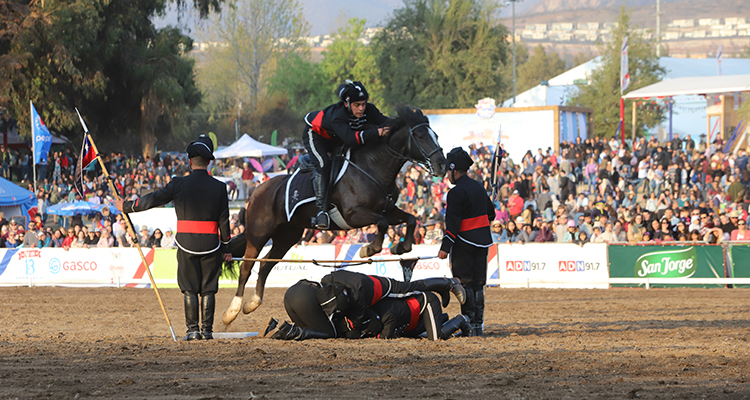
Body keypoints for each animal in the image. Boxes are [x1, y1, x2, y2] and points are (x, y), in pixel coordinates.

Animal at [223, 104, 446, 326]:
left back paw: (253, 303)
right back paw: (232, 311)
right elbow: (382, 223)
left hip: (287, 236)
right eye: (420, 136)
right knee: (246, 267)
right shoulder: (353, 214)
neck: (373, 168)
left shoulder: (389, 210)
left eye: (435, 135)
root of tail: (256, 192)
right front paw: (368, 249)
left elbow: (411, 219)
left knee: (265, 265)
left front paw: (401, 247)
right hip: (259, 234)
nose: (443, 165)